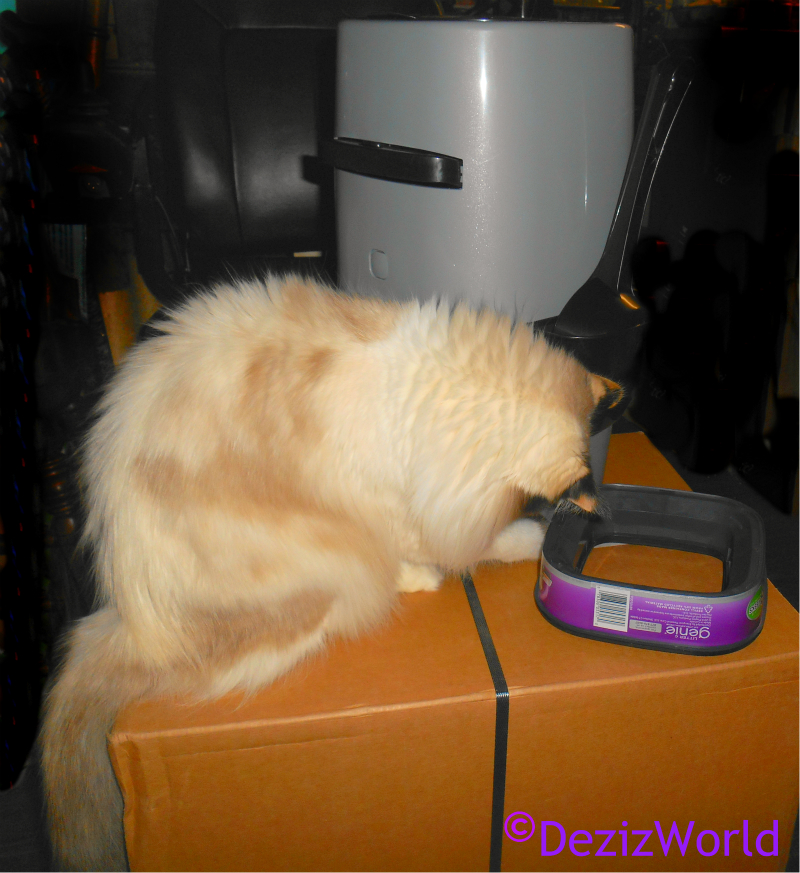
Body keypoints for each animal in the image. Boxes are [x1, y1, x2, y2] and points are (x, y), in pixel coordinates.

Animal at [40, 274, 620, 871]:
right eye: (532, 501)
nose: (581, 506)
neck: (435, 393)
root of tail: (129, 621)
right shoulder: (394, 506)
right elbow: (460, 543)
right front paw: (516, 541)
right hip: (322, 571)